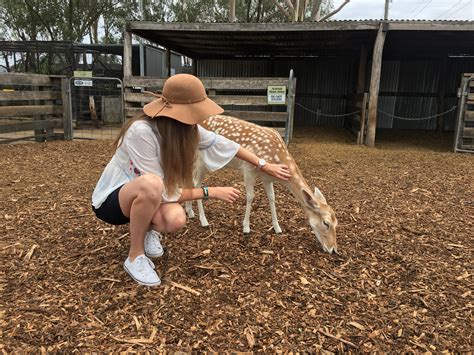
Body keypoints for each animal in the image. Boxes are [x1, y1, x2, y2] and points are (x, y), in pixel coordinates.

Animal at [187, 115, 338, 254]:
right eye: (326, 223)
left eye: (337, 223)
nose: (333, 250)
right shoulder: (248, 169)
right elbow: (250, 196)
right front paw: (246, 227)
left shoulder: (267, 178)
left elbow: (272, 198)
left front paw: (277, 228)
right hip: (201, 160)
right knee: (197, 183)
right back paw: (203, 220)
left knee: (190, 180)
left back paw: (190, 211)